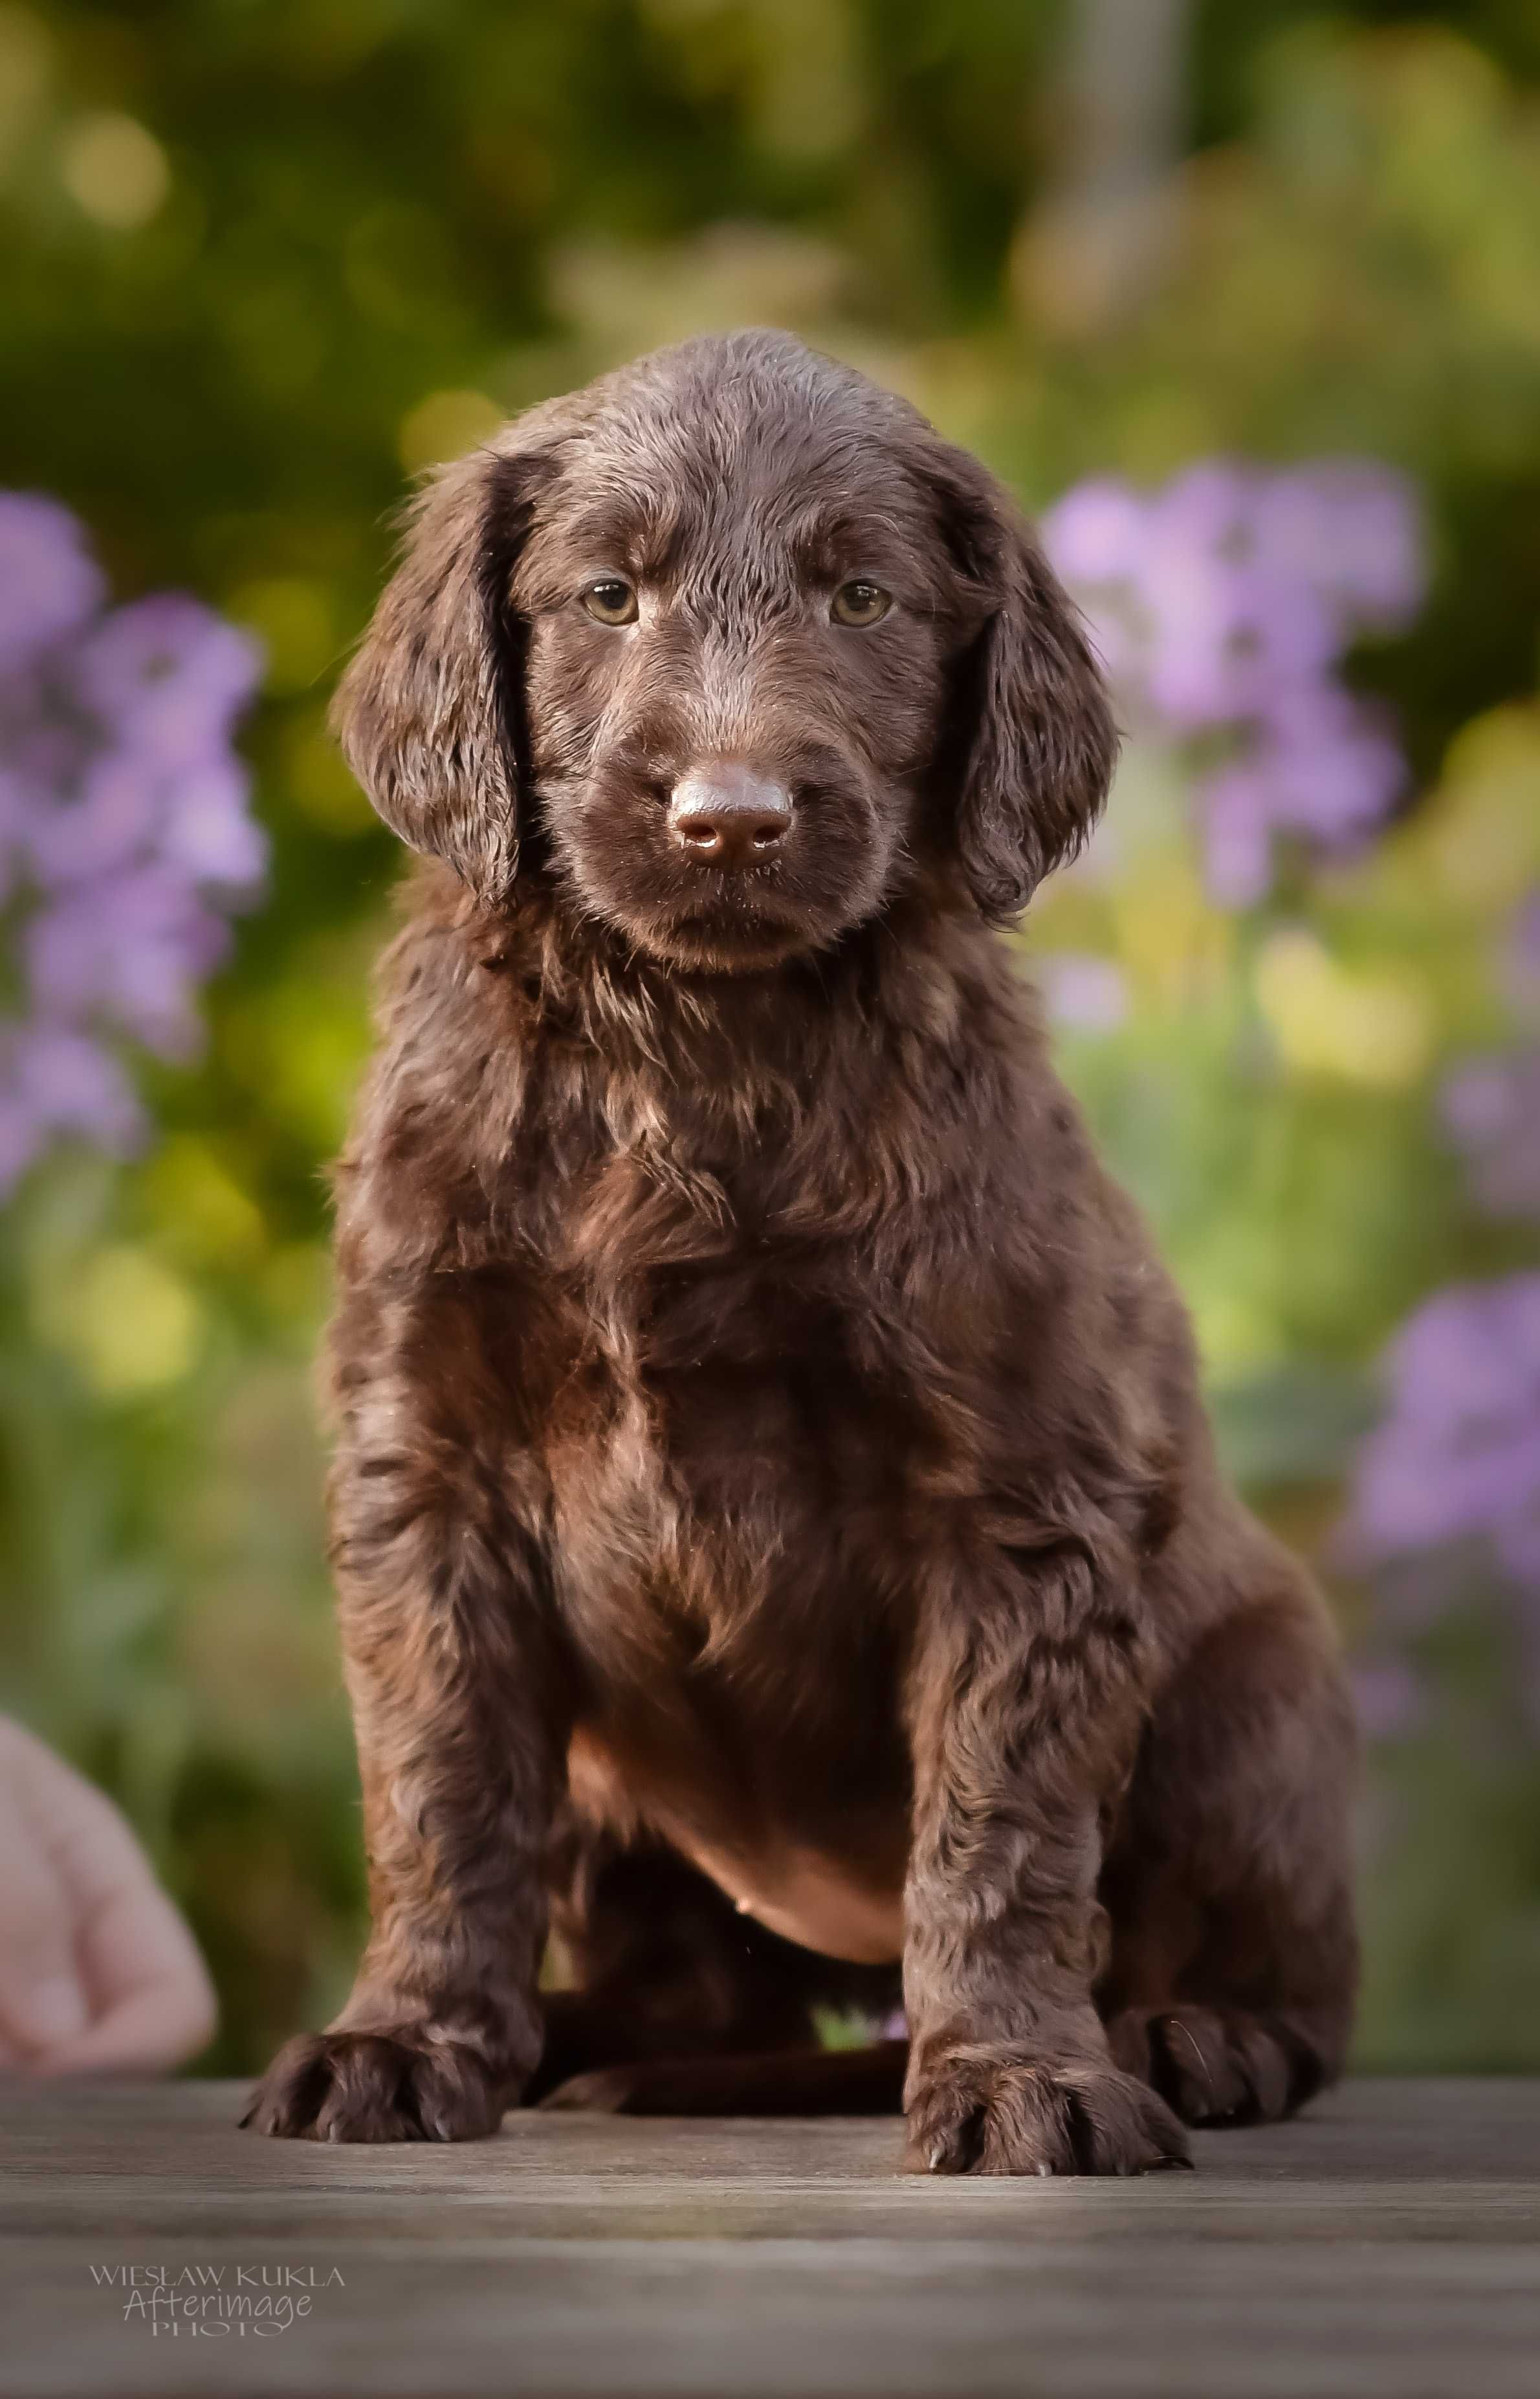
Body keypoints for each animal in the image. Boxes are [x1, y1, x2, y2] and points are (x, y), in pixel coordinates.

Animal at [242, 333, 1352, 2178]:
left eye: (862, 596)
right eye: (607, 594)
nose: (730, 818)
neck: (697, 1039)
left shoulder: (1021, 1481)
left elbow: (997, 1823)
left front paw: (1014, 2072)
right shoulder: (428, 1455)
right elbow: (440, 1778)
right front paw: (403, 2037)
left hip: (1256, 1691)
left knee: (1283, 1977)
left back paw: (1205, 2034)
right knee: (698, 1990)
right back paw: (586, 2049)